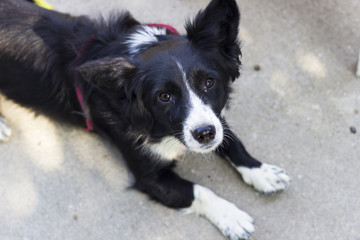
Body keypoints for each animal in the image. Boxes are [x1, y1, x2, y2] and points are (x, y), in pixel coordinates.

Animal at [0, 0, 290, 239]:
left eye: (209, 82)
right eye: (164, 97)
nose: (204, 134)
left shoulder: (213, 119)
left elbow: (232, 143)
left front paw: (261, 172)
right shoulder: (151, 177)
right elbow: (200, 191)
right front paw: (231, 216)